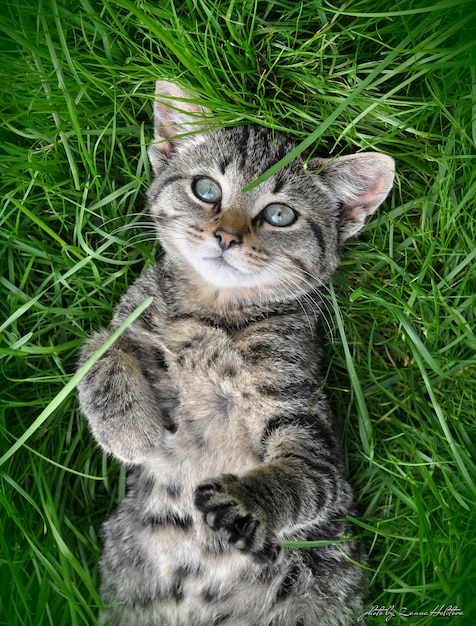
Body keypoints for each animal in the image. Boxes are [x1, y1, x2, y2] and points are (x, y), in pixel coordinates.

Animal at [78, 81, 394, 624]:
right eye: (206, 189)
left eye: (280, 214)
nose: (226, 235)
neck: (215, 311)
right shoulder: (134, 317)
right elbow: (99, 346)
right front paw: (131, 429)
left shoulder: (306, 418)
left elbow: (308, 476)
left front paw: (249, 500)